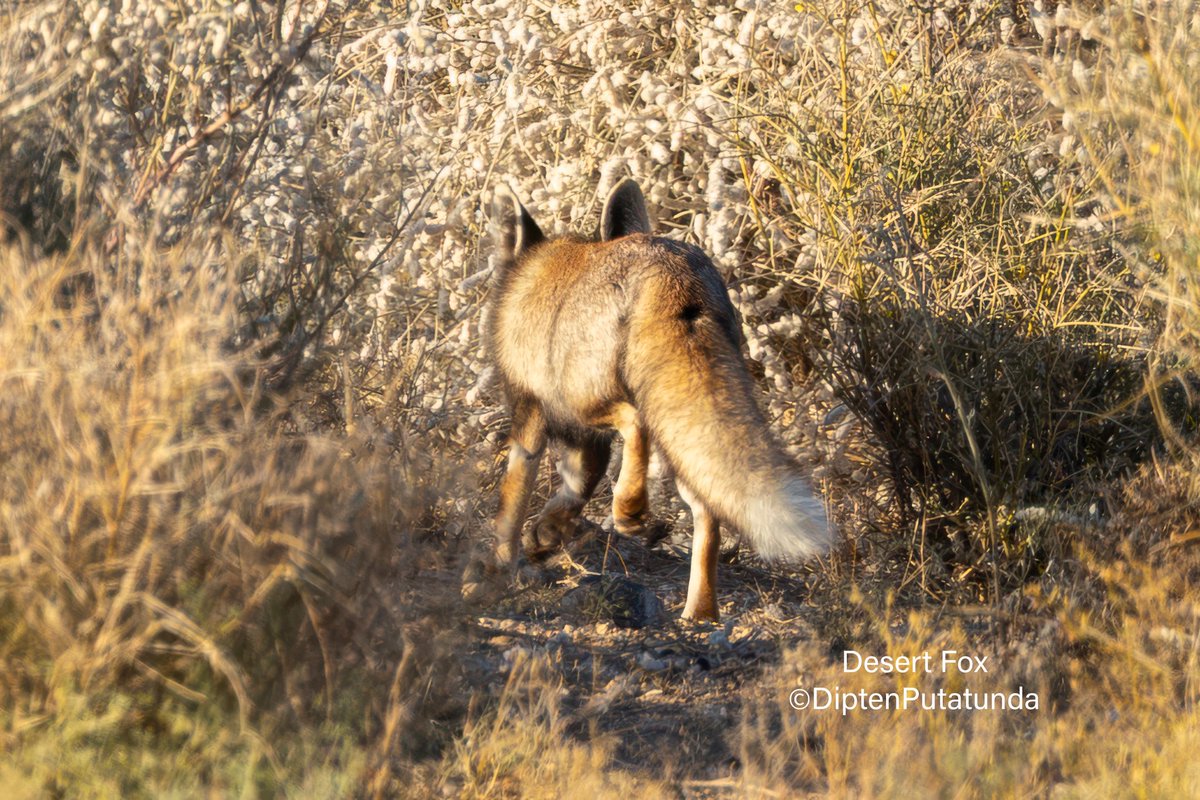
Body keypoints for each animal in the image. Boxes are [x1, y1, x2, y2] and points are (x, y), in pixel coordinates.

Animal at [472, 178, 831, 621]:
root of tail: (673, 270)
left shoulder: (532, 412)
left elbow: (512, 503)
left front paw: (495, 571)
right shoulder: (583, 443)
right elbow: (574, 491)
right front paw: (546, 535)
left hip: (589, 399)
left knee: (634, 422)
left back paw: (631, 512)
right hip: (682, 430)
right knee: (708, 514)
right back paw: (699, 613)